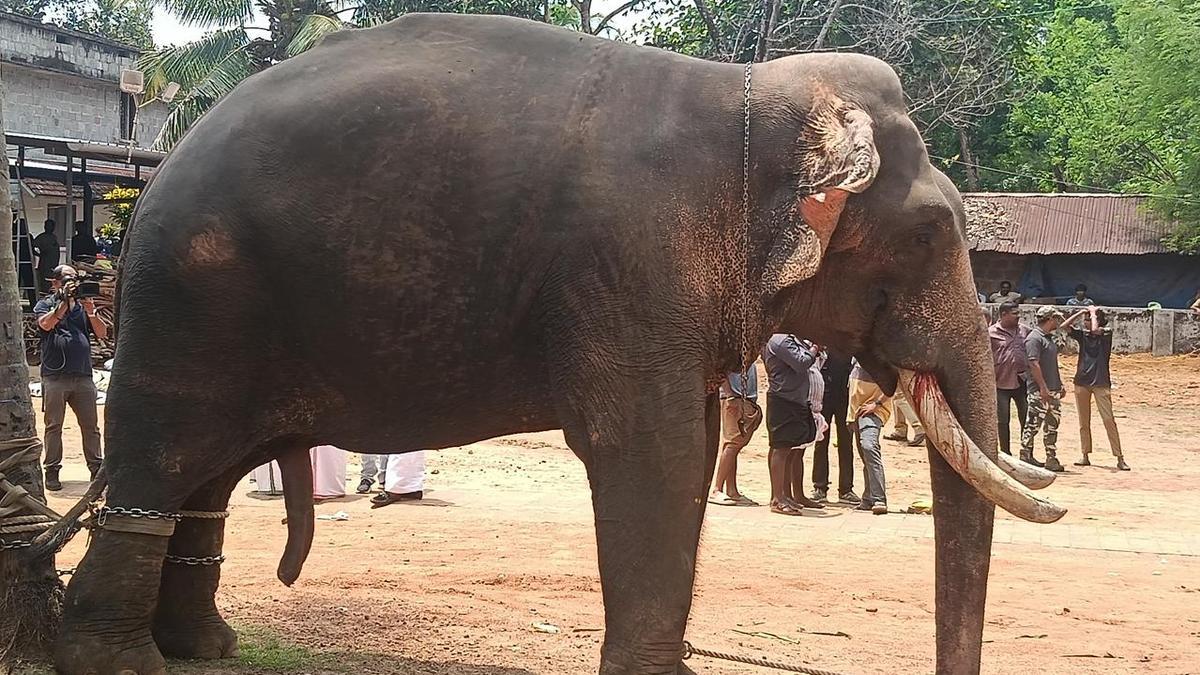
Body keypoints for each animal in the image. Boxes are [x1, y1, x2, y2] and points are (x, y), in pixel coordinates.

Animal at [52, 13, 1065, 675]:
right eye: (932, 232)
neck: (750, 94)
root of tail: (152, 179)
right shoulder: (632, 262)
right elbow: (652, 454)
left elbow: (689, 446)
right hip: (192, 303)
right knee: (165, 458)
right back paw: (119, 662)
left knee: (205, 477)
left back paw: (204, 648)